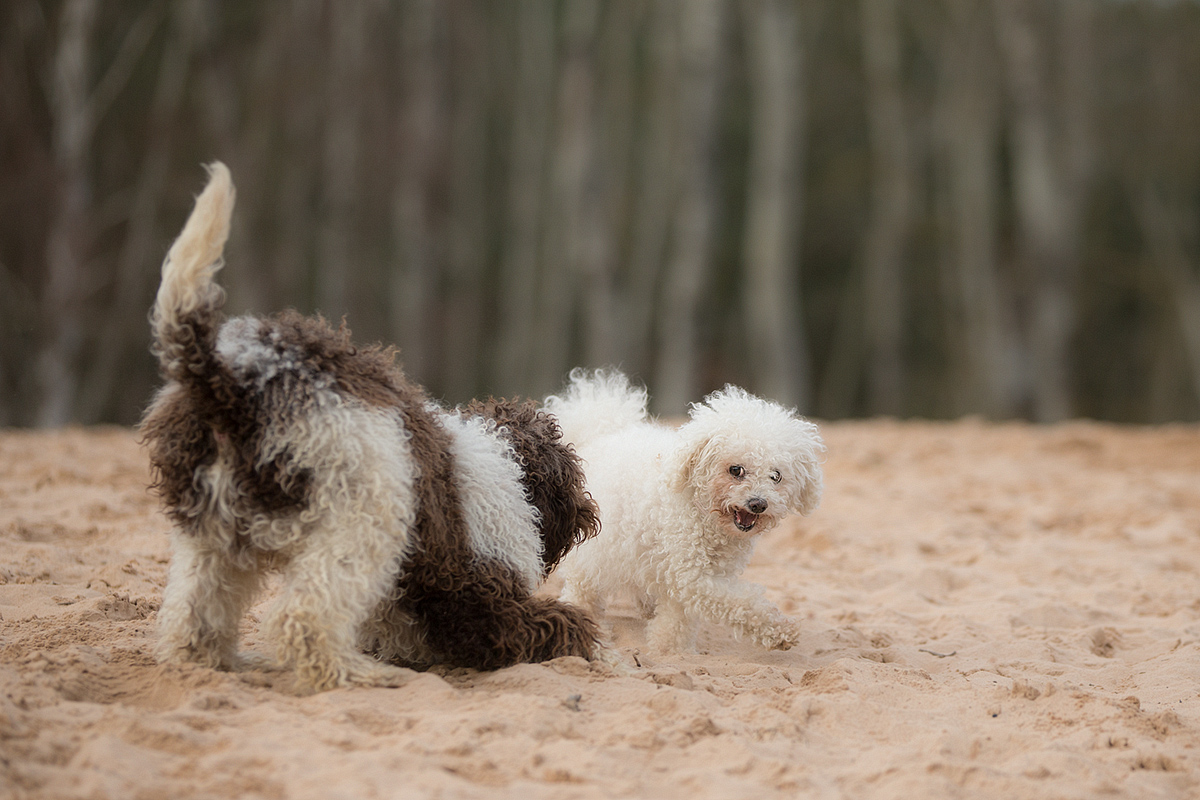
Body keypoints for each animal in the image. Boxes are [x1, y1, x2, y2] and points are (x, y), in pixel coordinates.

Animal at [140, 164, 600, 695]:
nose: (587, 515)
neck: (507, 462)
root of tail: (233, 381)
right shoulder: (479, 596)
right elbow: (552, 624)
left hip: (212, 526)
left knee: (195, 607)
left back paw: (203, 663)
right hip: (361, 514)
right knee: (305, 616)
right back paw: (356, 674)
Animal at [547, 371, 820, 652]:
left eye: (776, 476)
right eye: (736, 470)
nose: (758, 503)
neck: (704, 515)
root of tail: (603, 430)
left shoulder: (688, 575)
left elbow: (678, 617)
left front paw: (671, 649)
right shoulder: (693, 575)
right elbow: (739, 603)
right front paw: (779, 630)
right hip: (595, 553)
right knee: (583, 589)